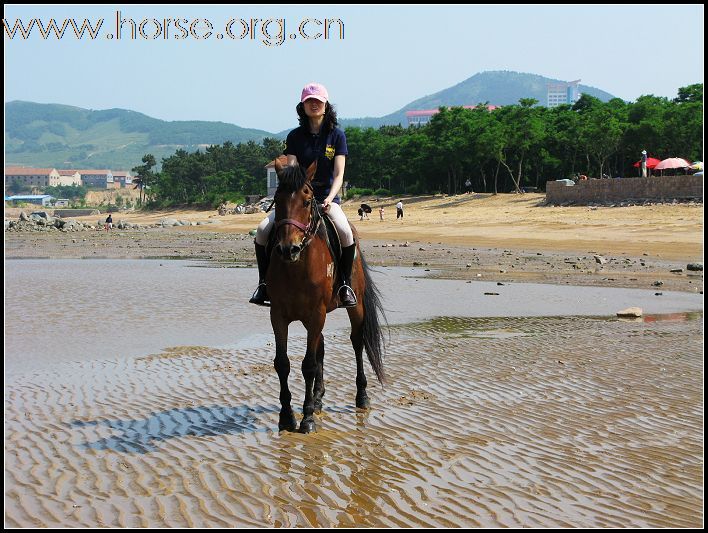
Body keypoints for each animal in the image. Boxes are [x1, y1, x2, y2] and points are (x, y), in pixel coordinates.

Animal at [266, 157, 388, 432]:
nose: (288, 249)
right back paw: (318, 399)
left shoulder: (315, 314)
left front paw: (307, 418)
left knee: (356, 341)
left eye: (307, 199)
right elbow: (283, 363)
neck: (297, 266)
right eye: (277, 199)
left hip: (355, 306)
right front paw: (287, 416)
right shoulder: (277, 315)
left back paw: (361, 397)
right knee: (320, 347)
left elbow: (309, 365)